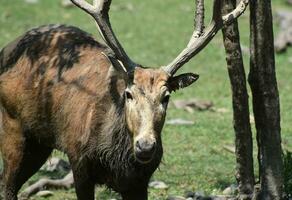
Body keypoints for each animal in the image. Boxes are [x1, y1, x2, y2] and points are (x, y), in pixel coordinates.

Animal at [0, 0, 249, 199]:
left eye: (166, 97)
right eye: (128, 93)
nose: (146, 146)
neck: (116, 158)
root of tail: (6, 49)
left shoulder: (140, 182)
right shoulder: (79, 161)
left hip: (39, 142)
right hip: (12, 126)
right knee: (7, 185)